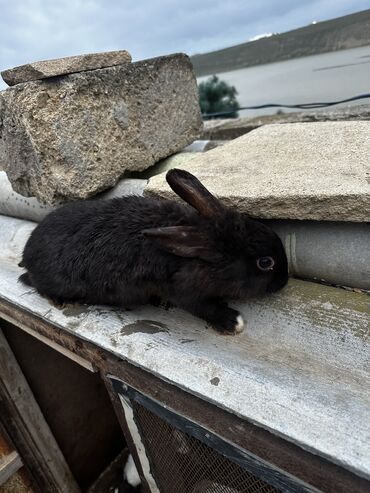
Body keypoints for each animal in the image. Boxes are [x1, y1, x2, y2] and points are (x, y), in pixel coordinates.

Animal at [18, 169, 288, 334]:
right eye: (265, 262)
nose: (283, 282)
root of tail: (26, 255)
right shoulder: (184, 292)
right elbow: (203, 308)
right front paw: (233, 321)